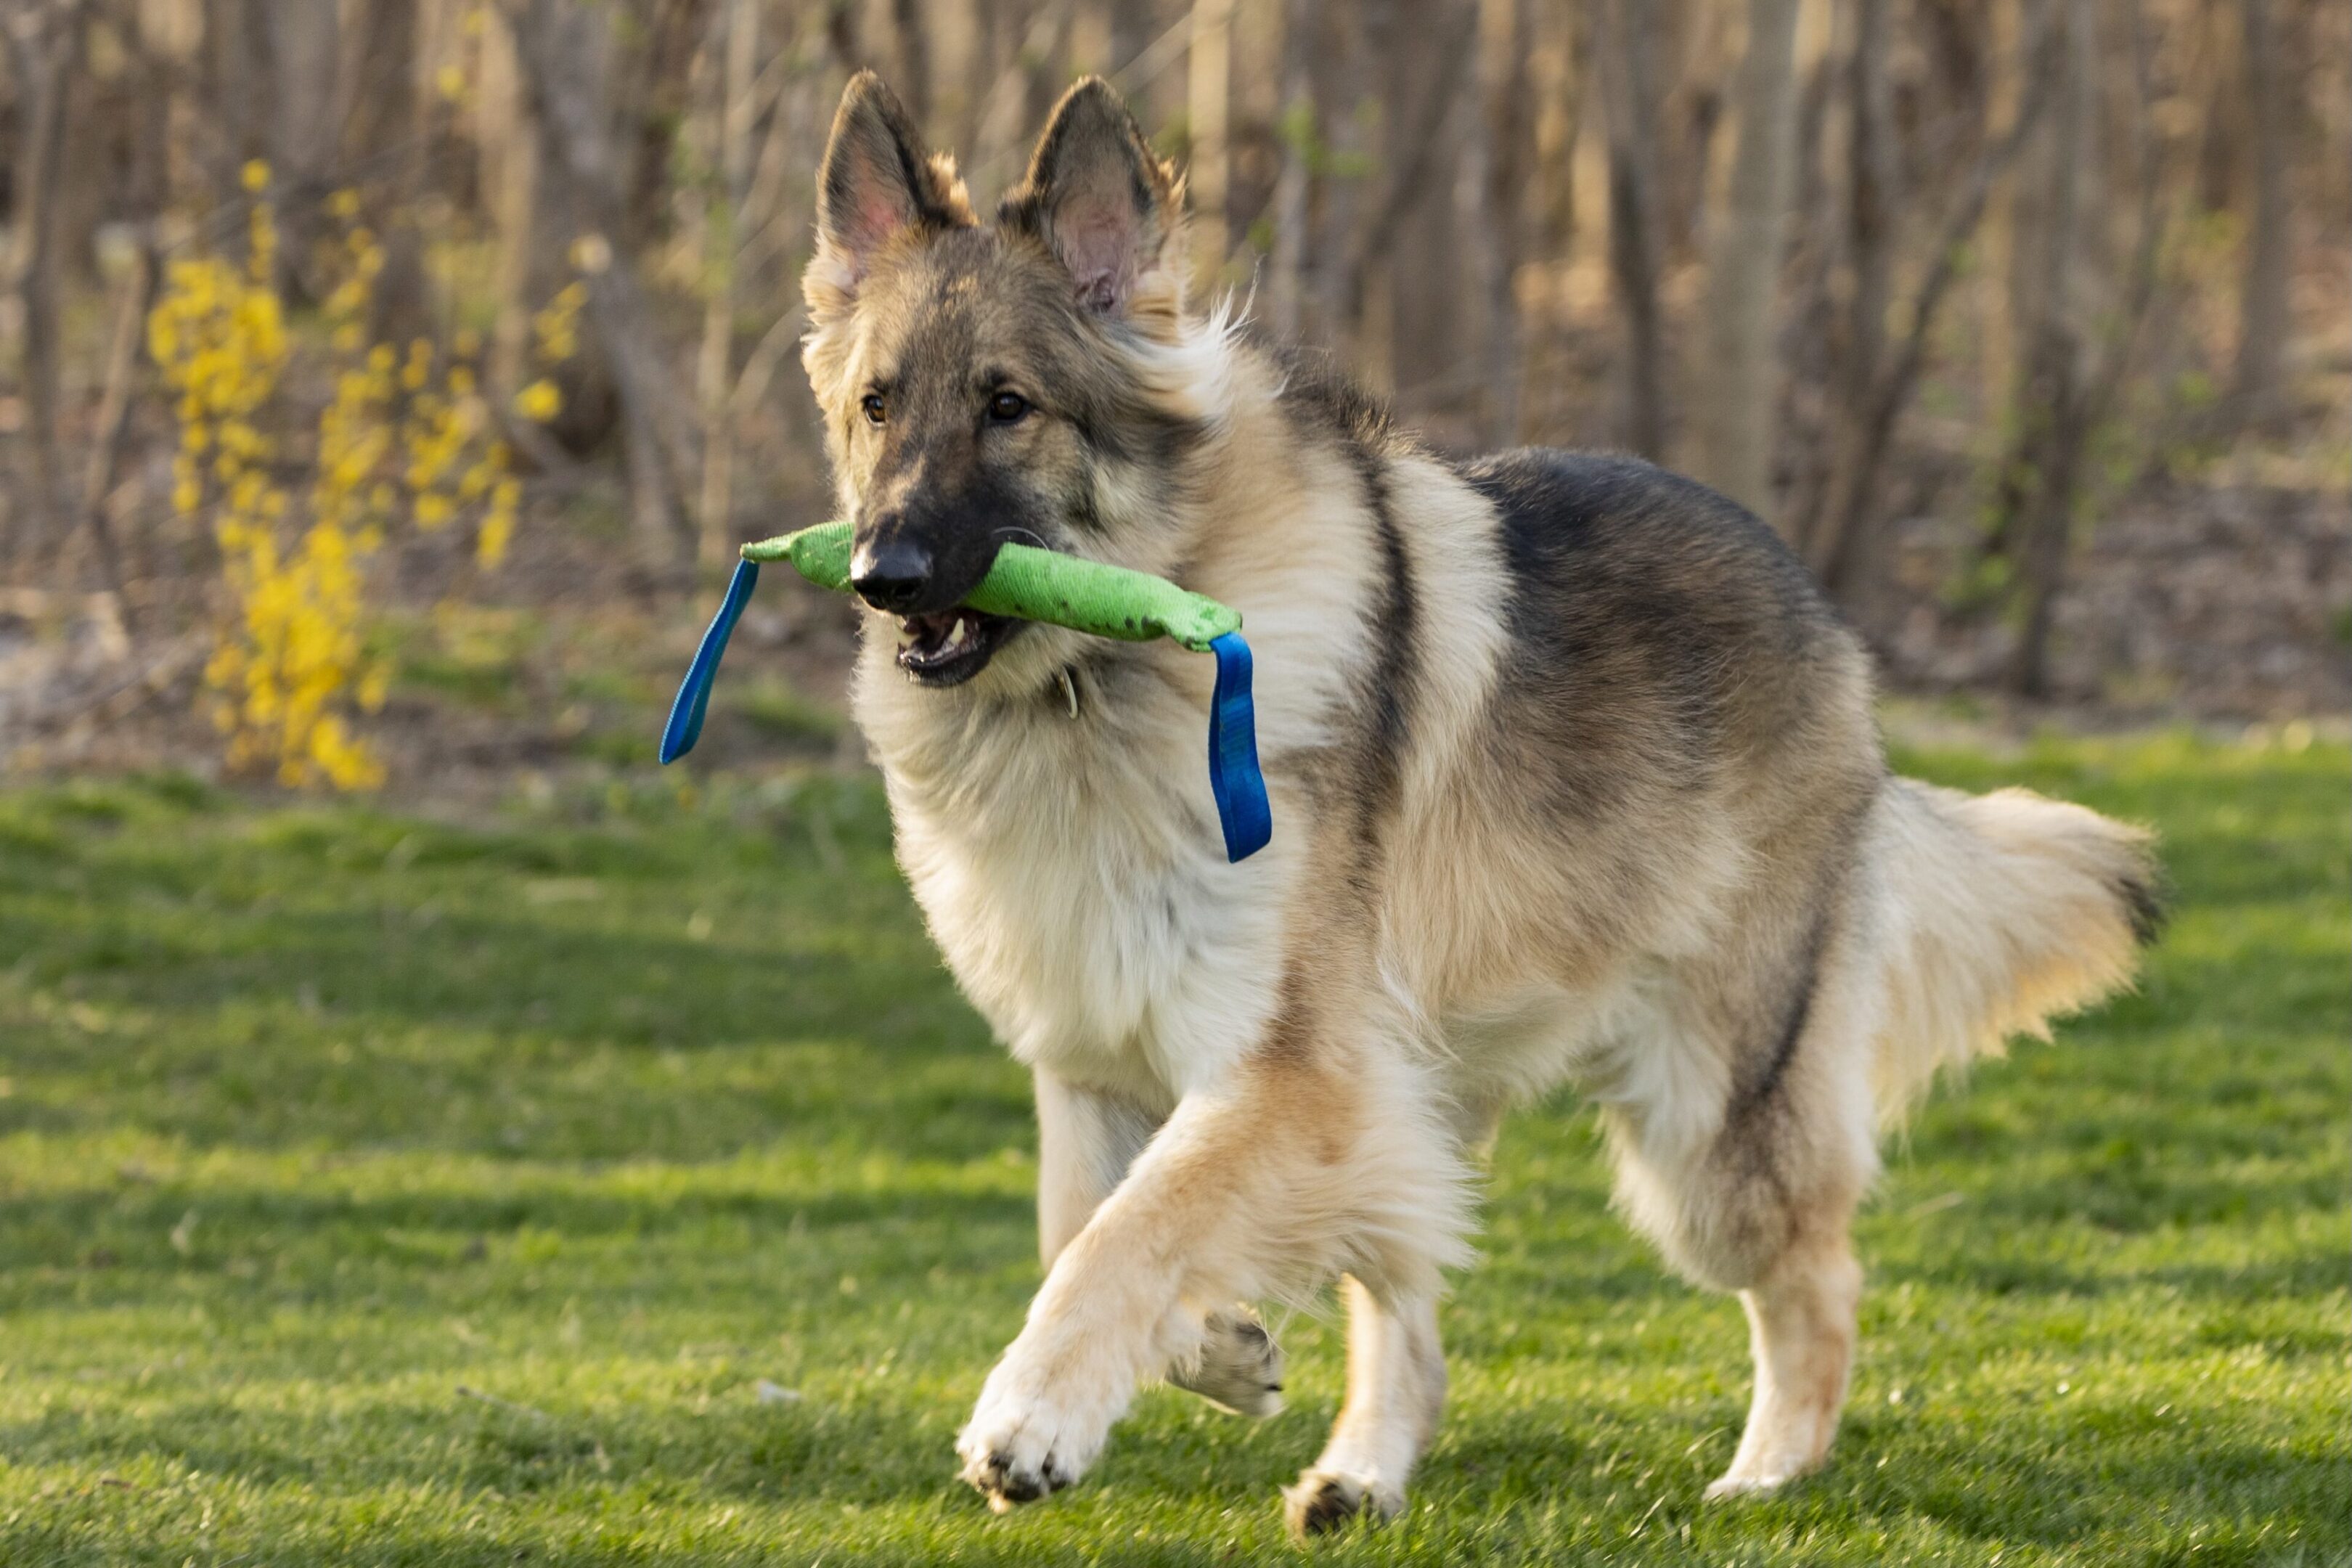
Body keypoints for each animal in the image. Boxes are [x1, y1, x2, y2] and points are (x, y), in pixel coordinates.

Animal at [799, 70, 2154, 1532]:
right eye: (877, 406)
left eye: (1009, 406)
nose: (883, 576)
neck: (1098, 679)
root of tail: (1824, 616)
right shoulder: (1112, 1055)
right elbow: (1089, 1226)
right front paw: (1218, 1345)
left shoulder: (1291, 1066)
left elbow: (1132, 1234)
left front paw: (1035, 1414)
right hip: (1438, 1080)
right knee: (1412, 1291)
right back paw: (1364, 1471)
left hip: (1709, 1125)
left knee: (1819, 1279)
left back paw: (1767, 1473)